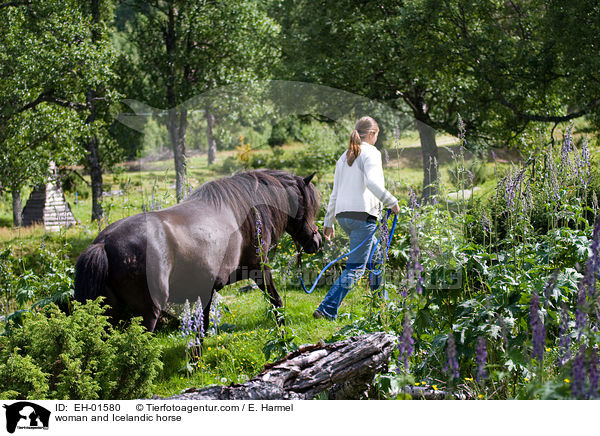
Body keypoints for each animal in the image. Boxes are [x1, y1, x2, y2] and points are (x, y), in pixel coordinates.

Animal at [75, 169, 324, 330]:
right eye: (308, 205)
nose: (318, 241)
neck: (247, 213)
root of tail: (103, 244)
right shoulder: (258, 269)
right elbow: (275, 299)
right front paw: (281, 324)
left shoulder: (208, 287)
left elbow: (203, 320)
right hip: (147, 312)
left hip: (111, 313)